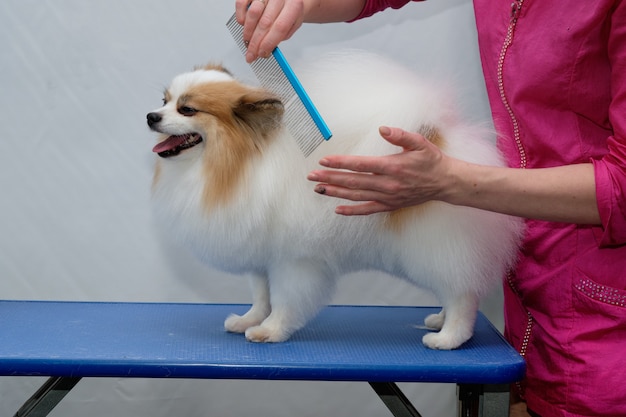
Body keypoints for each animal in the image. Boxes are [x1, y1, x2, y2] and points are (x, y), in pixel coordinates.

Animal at [146, 50, 520, 350]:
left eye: (187, 109)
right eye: (163, 100)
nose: (151, 116)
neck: (236, 164)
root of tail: (443, 142)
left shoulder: (294, 259)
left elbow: (284, 301)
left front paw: (270, 331)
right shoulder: (262, 254)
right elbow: (262, 295)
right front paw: (249, 320)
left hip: (432, 244)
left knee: (462, 293)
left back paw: (449, 337)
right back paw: (439, 319)